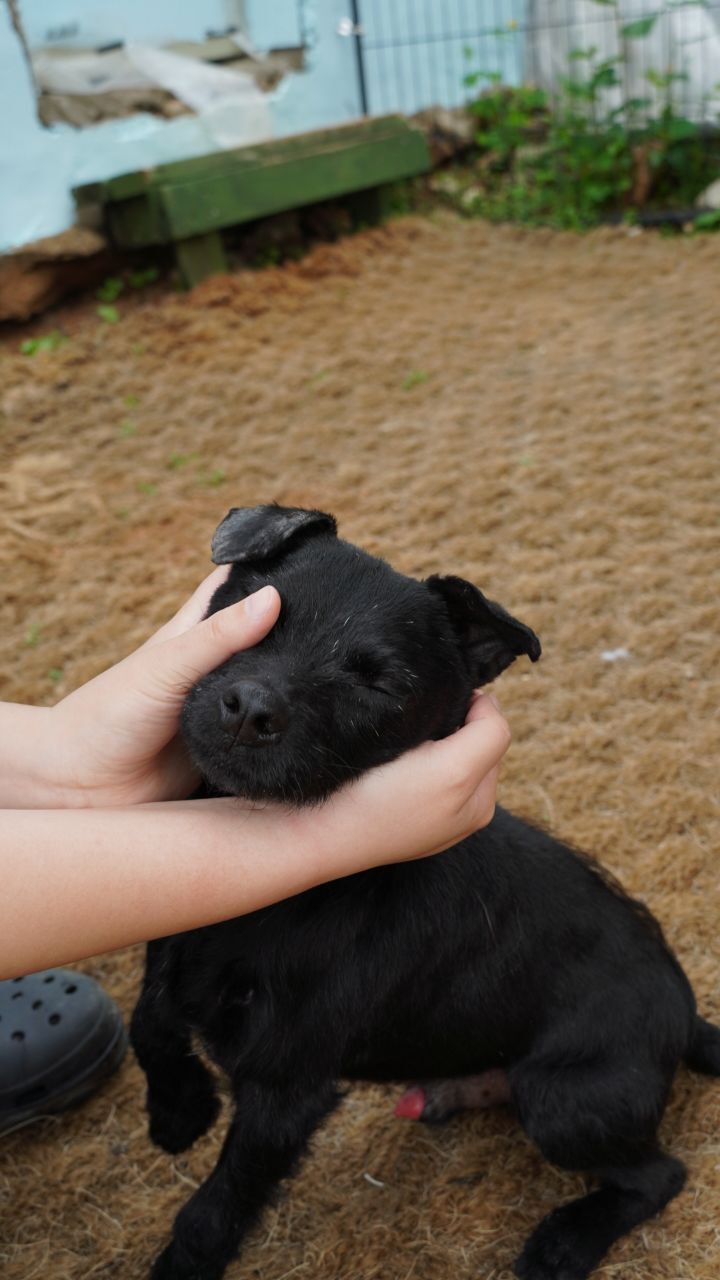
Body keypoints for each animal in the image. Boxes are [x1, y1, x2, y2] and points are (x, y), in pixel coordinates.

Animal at [130, 504, 719, 1280]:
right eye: (253, 609)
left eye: (380, 685)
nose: (249, 709)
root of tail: (686, 1014)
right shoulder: (176, 940)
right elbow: (148, 1021)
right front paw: (179, 1112)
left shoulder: (286, 1086)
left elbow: (216, 1207)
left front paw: (181, 1259)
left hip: (566, 1100)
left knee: (659, 1176)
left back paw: (564, 1244)